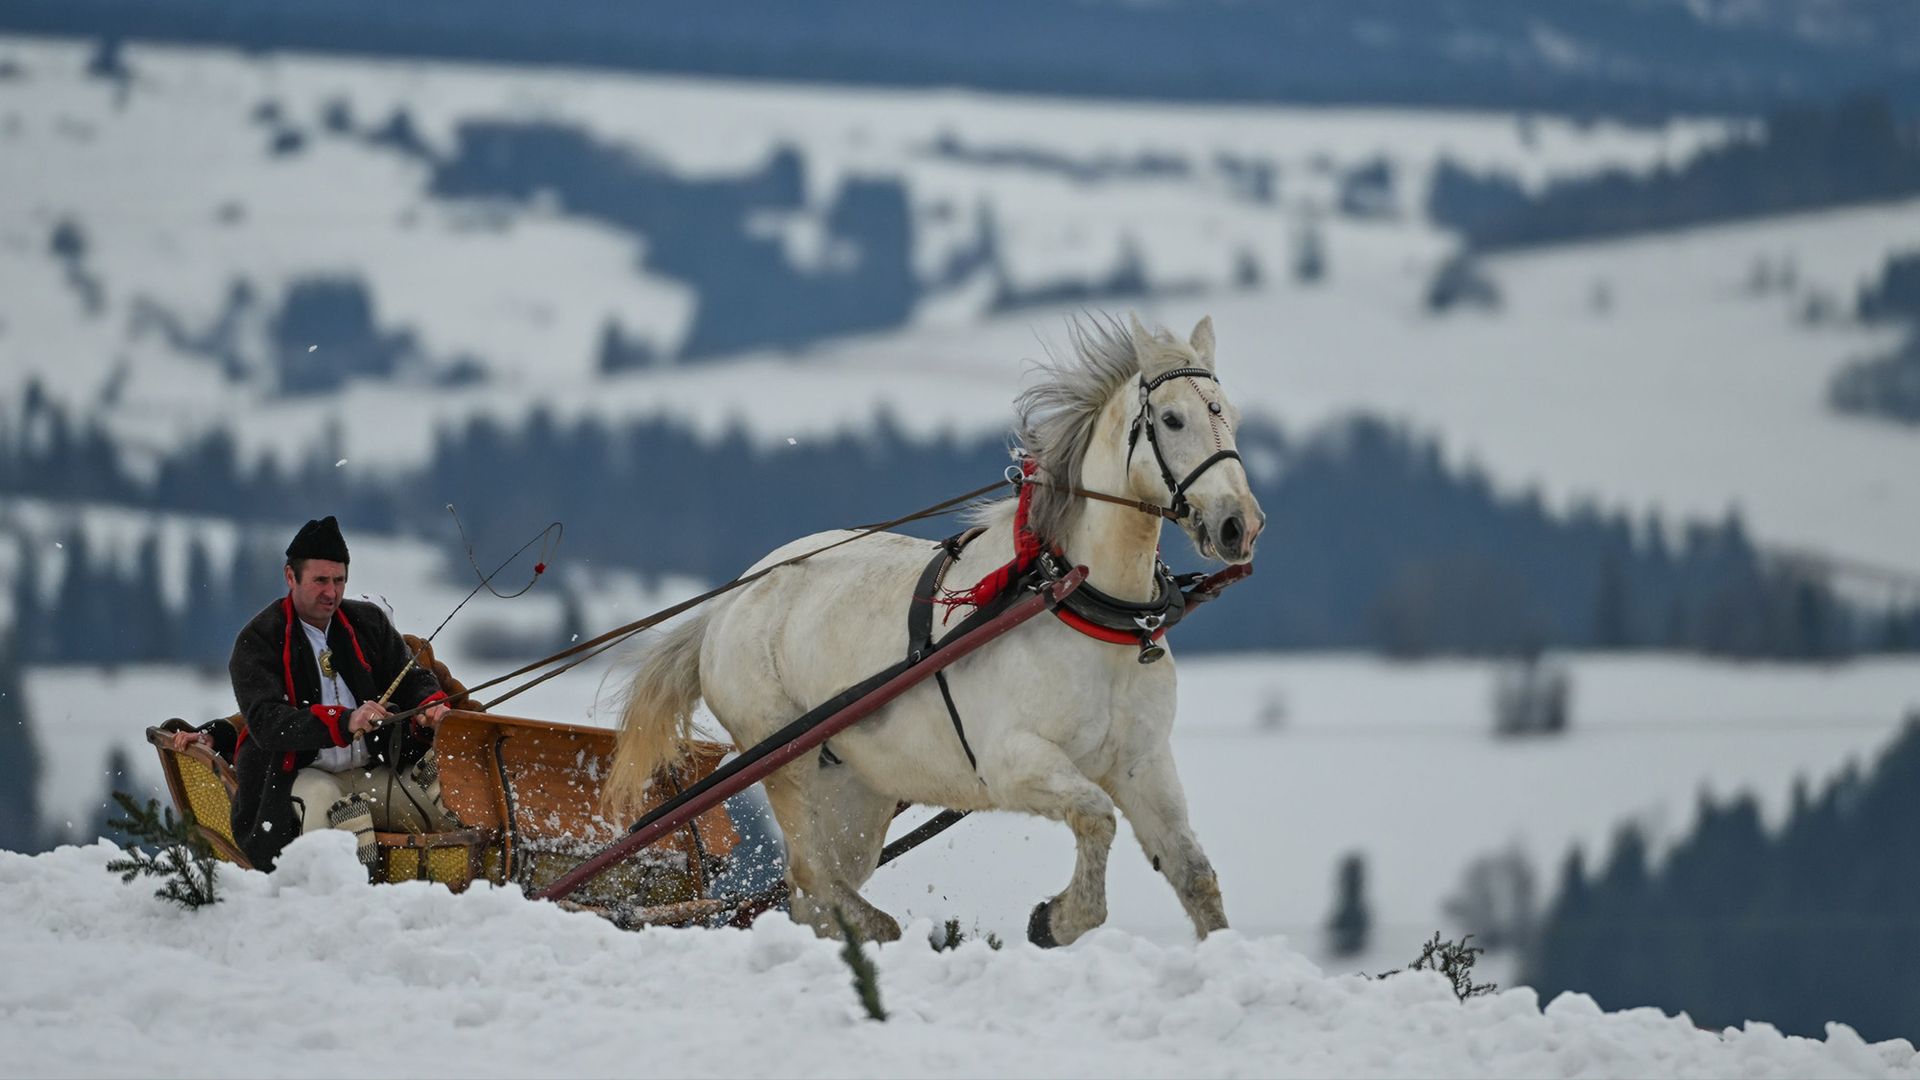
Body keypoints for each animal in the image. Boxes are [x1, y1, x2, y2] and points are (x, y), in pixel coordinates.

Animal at [601, 312, 1264, 946]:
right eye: (1171, 419)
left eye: (1230, 417)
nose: (1240, 525)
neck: (1087, 608)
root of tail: (730, 602)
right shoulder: (1013, 761)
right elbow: (1097, 817)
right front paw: (1053, 921)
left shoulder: (1143, 763)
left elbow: (1193, 872)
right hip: (786, 762)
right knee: (814, 877)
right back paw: (880, 929)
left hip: (854, 795)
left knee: (815, 890)